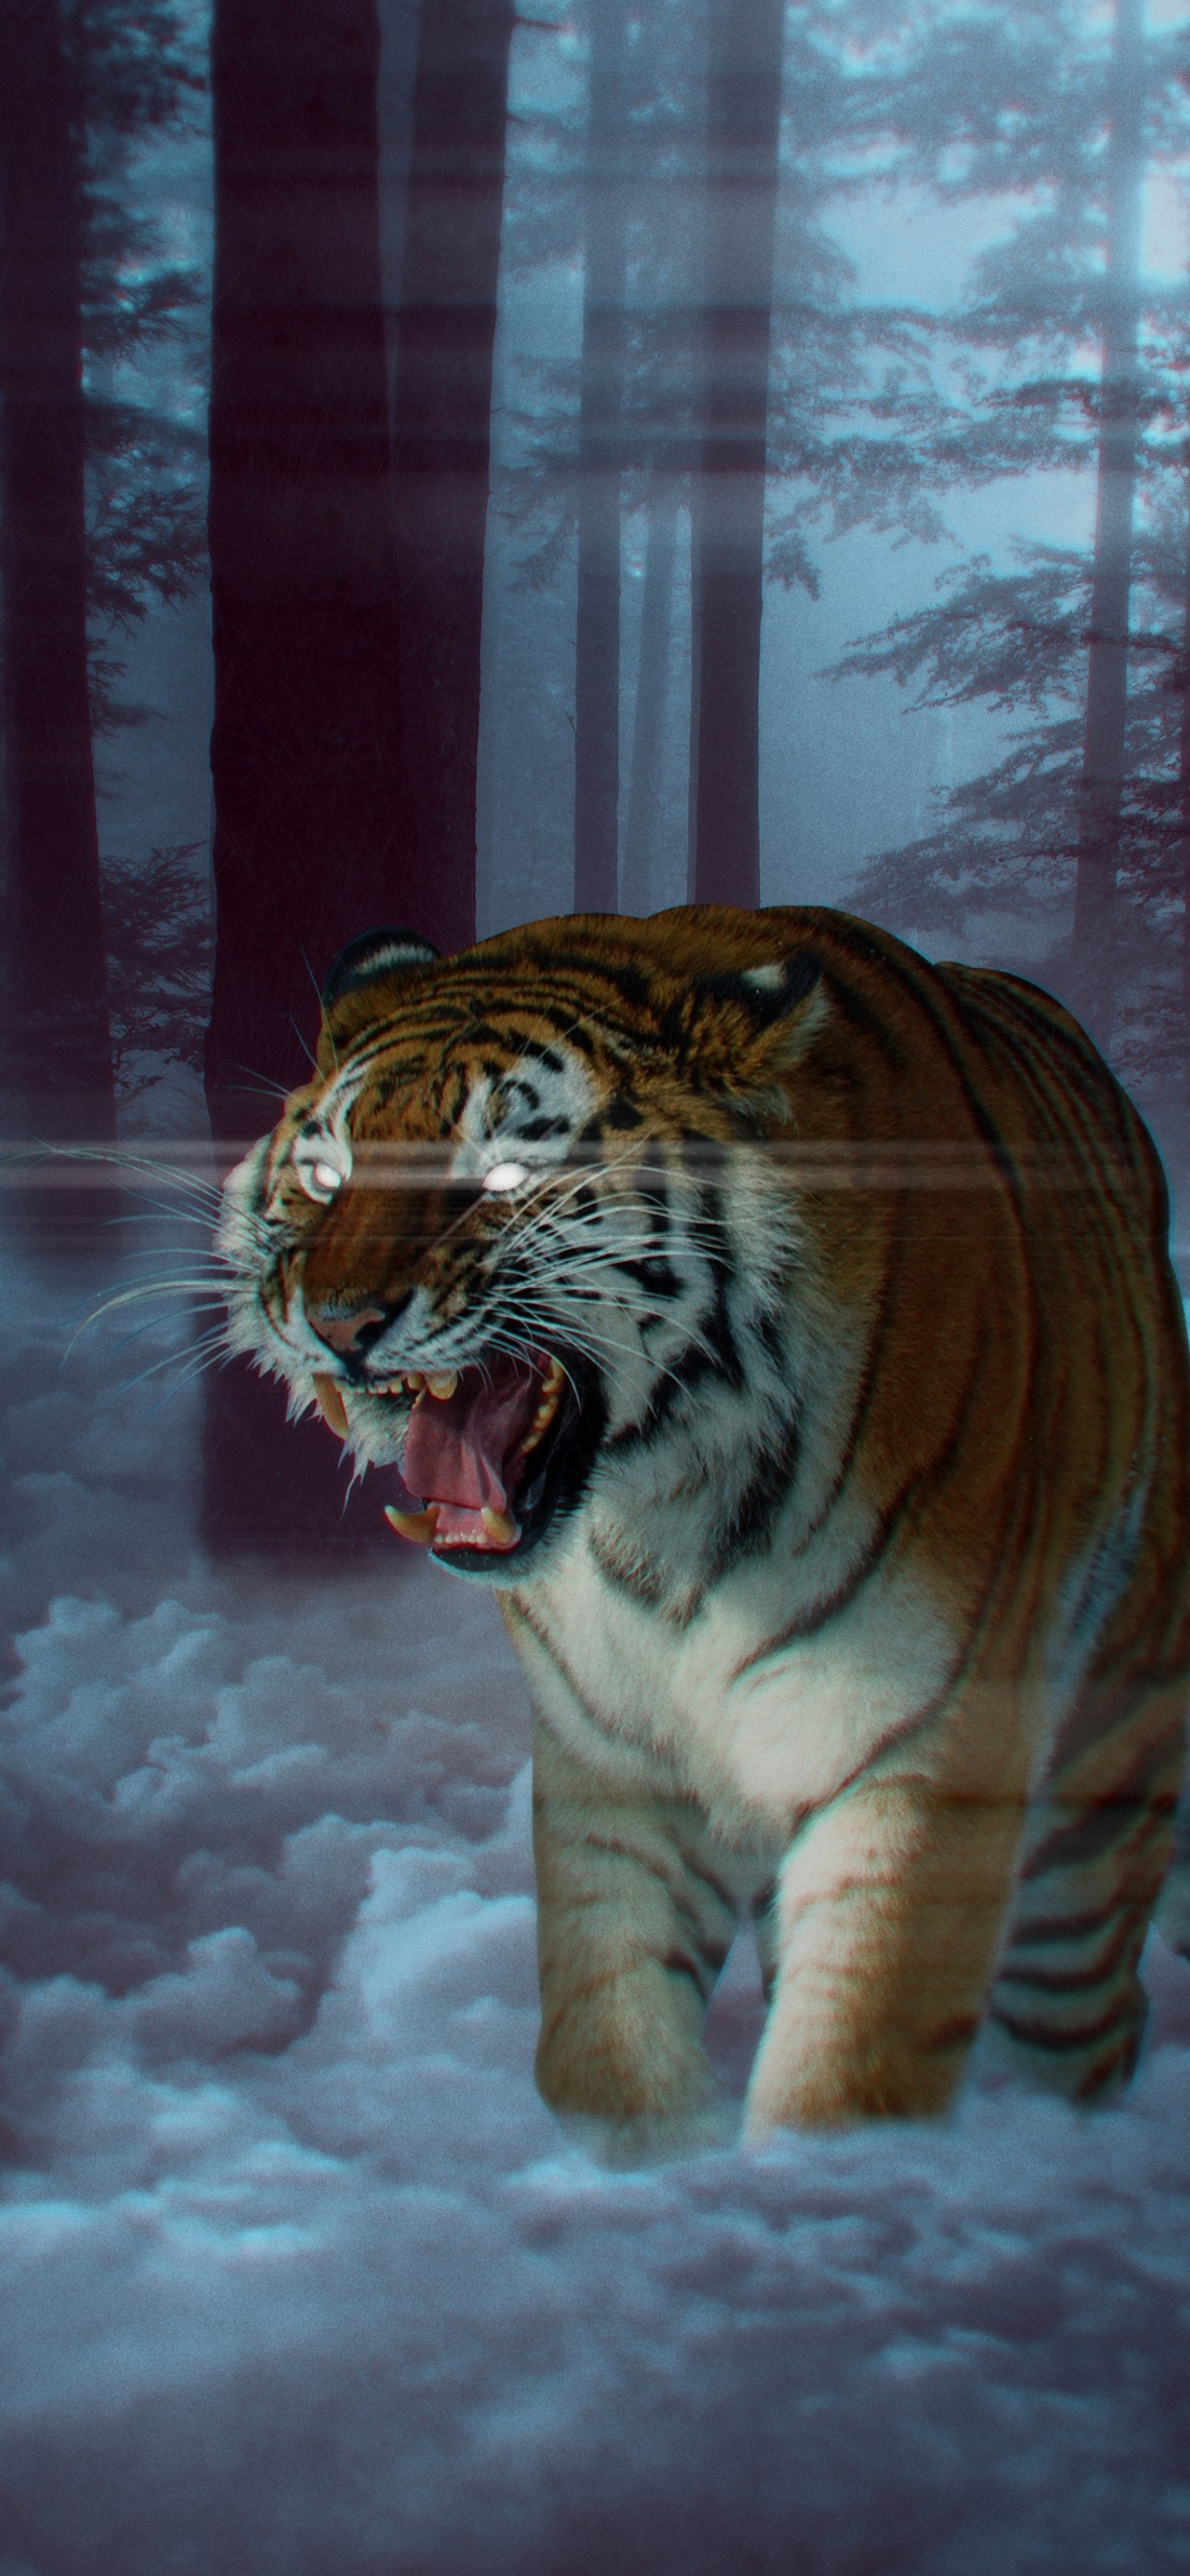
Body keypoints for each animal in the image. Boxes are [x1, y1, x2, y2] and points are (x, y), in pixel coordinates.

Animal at [217, 904, 1190, 2148]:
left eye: (504, 1173)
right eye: (326, 1175)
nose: (338, 1324)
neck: (663, 1521)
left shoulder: (924, 1753)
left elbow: (855, 2067)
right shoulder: (611, 1763)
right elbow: (605, 2037)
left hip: (1091, 1822)